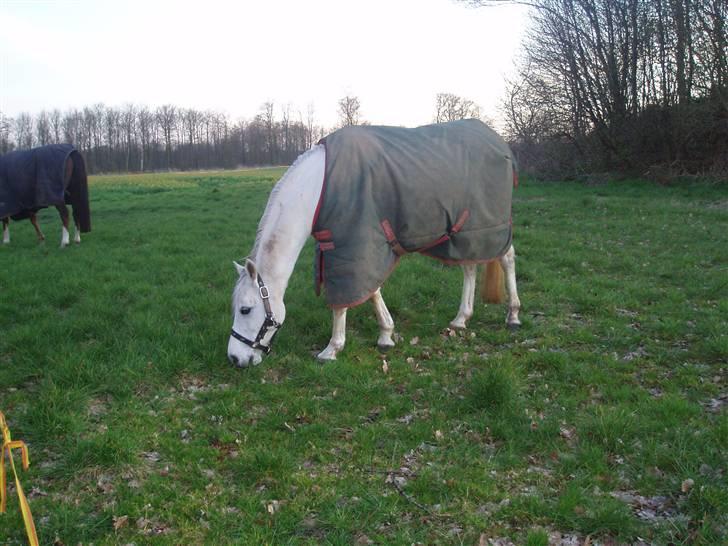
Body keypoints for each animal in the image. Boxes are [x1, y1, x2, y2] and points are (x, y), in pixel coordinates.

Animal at [228, 119, 521, 367]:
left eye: (245, 309)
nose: (234, 358)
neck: (318, 188)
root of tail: (500, 142)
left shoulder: (352, 244)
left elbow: (344, 302)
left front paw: (332, 349)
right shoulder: (354, 245)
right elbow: (371, 291)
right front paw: (386, 335)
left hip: (488, 226)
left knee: (507, 259)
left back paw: (513, 315)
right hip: (465, 233)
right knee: (470, 267)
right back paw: (461, 319)